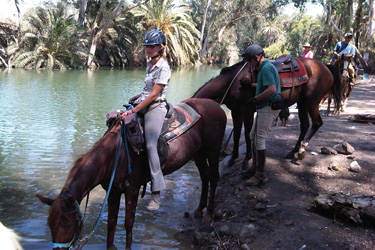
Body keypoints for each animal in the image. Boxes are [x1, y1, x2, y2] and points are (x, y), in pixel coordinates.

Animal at [194, 57, 344, 160]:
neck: (232, 82)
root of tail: (325, 67)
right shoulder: (236, 111)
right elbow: (236, 134)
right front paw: (233, 158)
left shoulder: (247, 110)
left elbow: (247, 133)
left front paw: (247, 157)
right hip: (302, 102)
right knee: (305, 125)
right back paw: (292, 152)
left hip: (312, 101)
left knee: (317, 123)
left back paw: (302, 149)